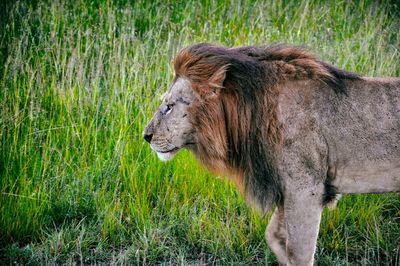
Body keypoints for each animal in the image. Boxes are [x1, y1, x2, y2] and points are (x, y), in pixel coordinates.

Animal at [142, 42, 398, 264]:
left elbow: (298, 252)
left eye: (169, 106)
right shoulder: (287, 189)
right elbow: (274, 236)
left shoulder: (306, 188)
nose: (145, 136)